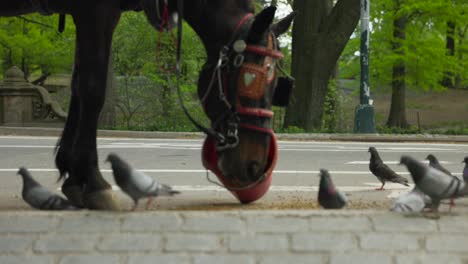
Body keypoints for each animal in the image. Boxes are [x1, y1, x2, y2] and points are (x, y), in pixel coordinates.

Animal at [0, 1, 292, 209]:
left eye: (278, 85)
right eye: (250, 78)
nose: (255, 166)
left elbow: (77, 86)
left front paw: (73, 173)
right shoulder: (95, 10)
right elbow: (92, 89)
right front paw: (93, 180)